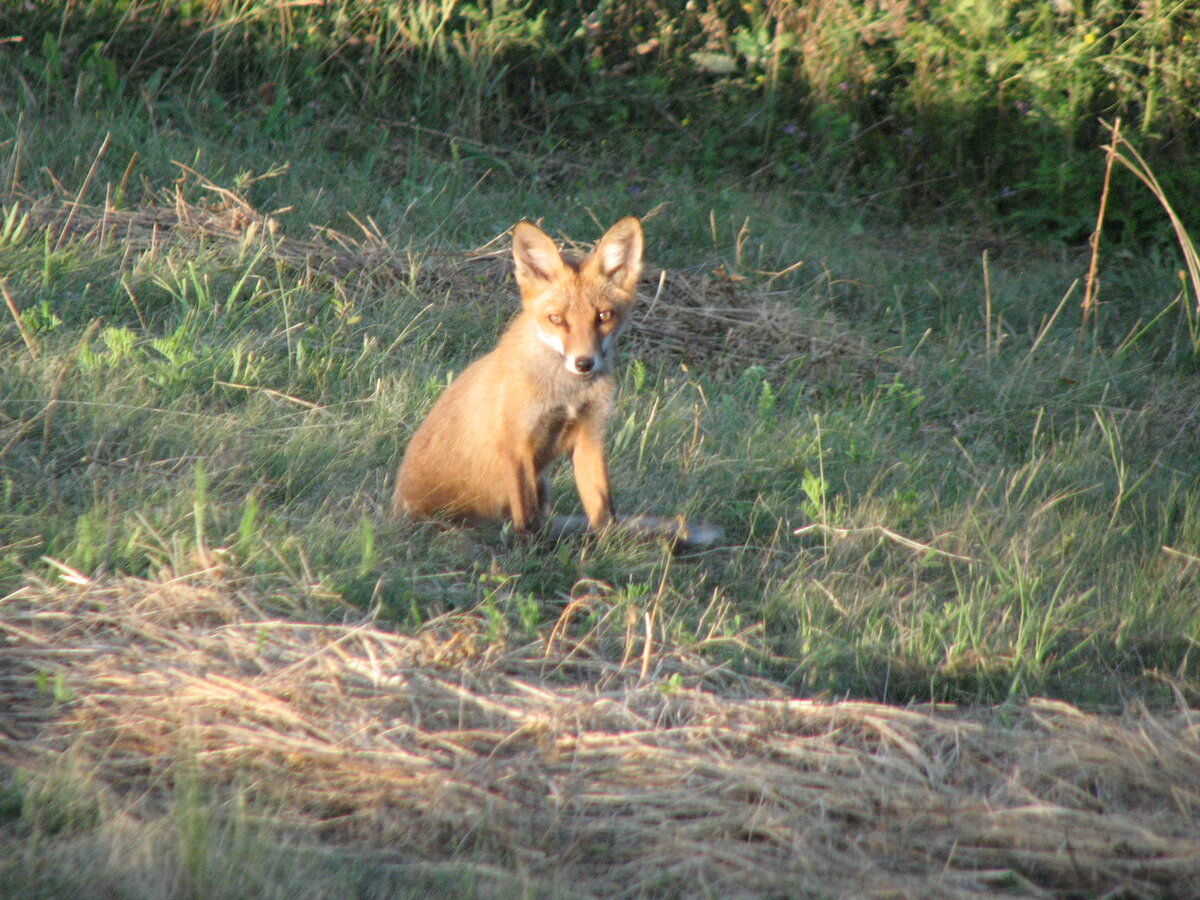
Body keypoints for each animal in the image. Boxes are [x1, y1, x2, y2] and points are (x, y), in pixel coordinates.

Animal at [393, 214, 643, 532]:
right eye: (556, 319)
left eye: (603, 316)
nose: (584, 363)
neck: (566, 393)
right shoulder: (516, 444)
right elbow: (526, 521)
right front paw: (529, 547)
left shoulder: (590, 436)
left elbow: (603, 513)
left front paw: (608, 543)